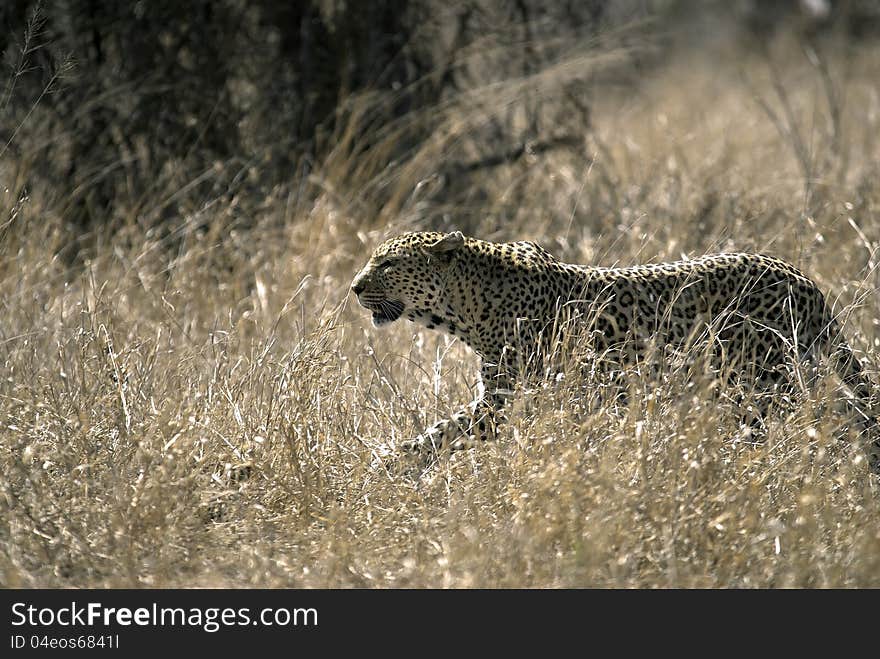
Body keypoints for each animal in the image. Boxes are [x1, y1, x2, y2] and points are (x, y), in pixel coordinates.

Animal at [352, 232, 880, 474]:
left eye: (389, 263)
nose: (355, 286)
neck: (464, 307)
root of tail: (804, 279)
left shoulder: (505, 399)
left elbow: (445, 430)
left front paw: (390, 462)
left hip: (760, 384)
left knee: (826, 418)